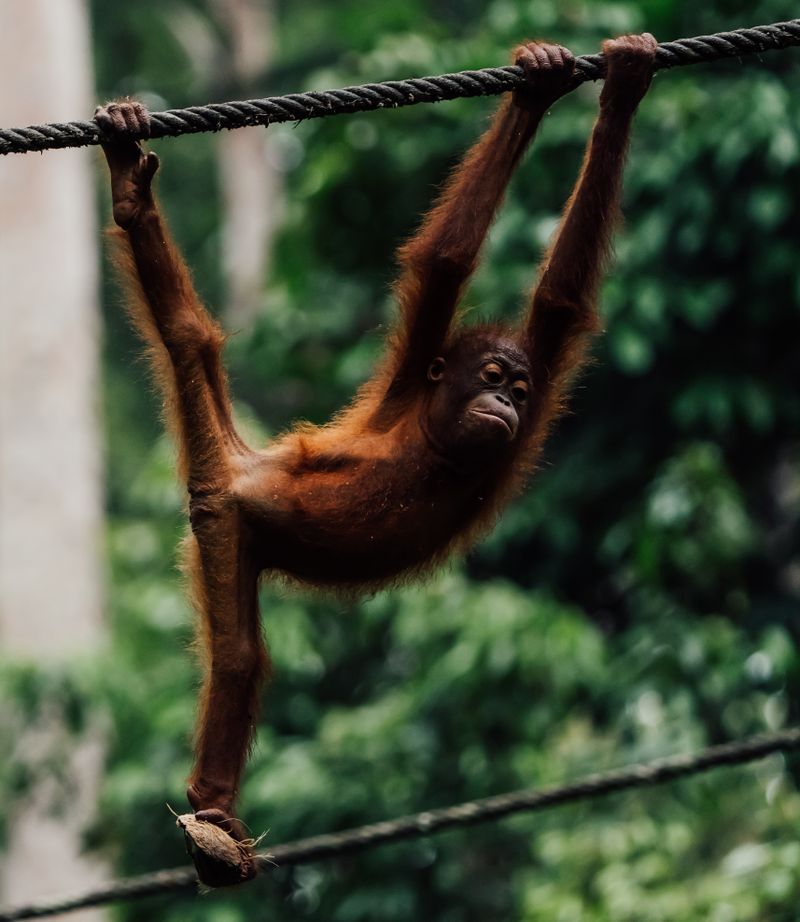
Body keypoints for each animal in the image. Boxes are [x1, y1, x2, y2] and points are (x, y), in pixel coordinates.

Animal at [96, 33, 657, 885]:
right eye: (490, 378)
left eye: (521, 388)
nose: (505, 404)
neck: (437, 440)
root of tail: (242, 463)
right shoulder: (411, 375)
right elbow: (449, 259)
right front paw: (551, 88)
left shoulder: (542, 379)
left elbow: (561, 299)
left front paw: (608, 85)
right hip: (225, 518)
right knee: (238, 658)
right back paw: (216, 818)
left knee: (193, 343)